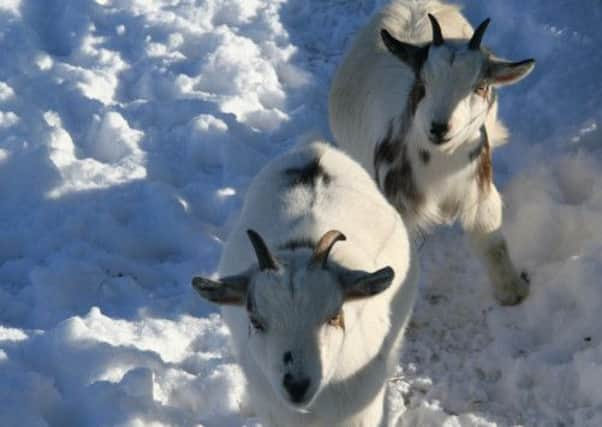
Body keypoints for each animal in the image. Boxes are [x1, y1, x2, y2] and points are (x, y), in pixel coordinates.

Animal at [328, 0, 536, 308]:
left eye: (480, 87)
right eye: (422, 84)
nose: (439, 127)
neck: (441, 169)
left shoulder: (479, 190)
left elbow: (492, 242)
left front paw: (512, 291)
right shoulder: (398, 208)